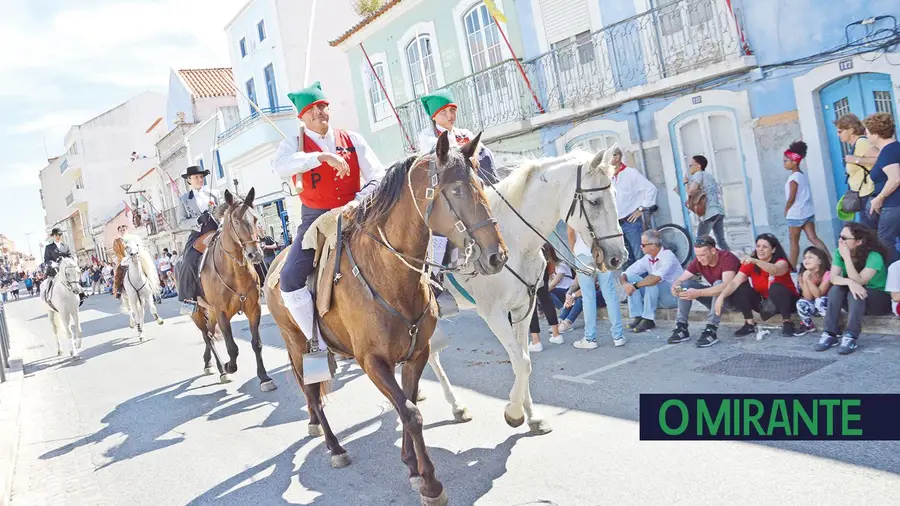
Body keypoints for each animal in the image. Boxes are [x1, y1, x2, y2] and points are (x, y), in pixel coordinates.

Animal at [190, 188, 274, 390]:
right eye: (236, 221)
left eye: (255, 219)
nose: (255, 254)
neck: (235, 272)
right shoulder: (222, 312)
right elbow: (232, 347)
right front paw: (229, 366)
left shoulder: (253, 309)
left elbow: (256, 343)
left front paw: (264, 377)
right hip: (198, 312)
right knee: (207, 336)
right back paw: (222, 369)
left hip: (211, 312)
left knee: (210, 335)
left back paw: (209, 363)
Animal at [266, 132, 506, 506]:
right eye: (455, 191)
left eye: (480, 184)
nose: (497, 256)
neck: (389, 273)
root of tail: (273, 265)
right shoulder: (373, 362)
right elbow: (411, 412)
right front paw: (431, 483)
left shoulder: (416, 354)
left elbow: (408, 403)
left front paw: (411, 466)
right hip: (296, 344)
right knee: (313, 395)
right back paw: (334, 447)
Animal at [428, 147, 624, 434]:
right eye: (595, 201)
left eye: (615, 196)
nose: (618, 257)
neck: (515, 242)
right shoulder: (494, 313)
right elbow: (521, 362)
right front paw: (514, 412)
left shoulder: (524, 307)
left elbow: (523, 360)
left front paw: (531, 416)